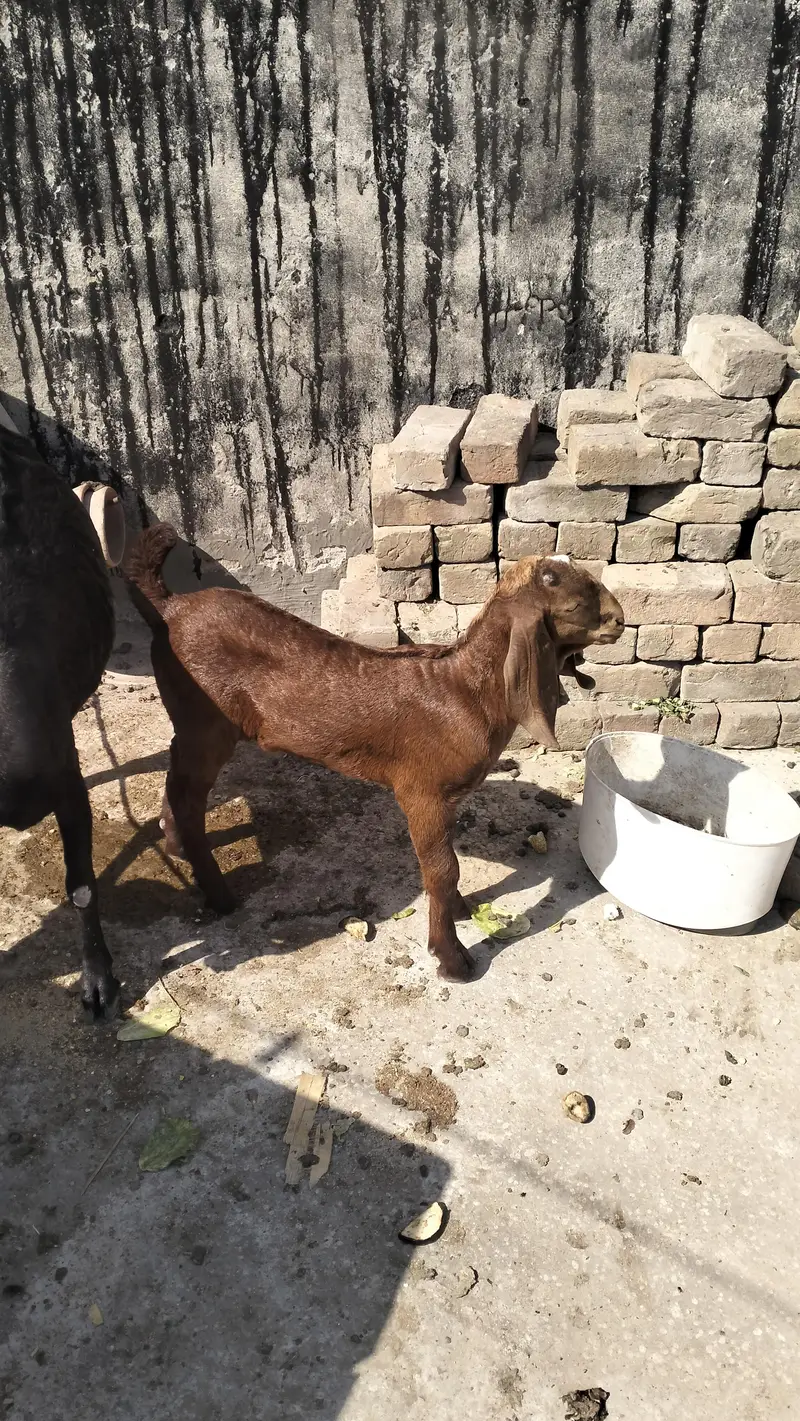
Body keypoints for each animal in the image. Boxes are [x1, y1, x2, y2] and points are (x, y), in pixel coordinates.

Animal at [126, 529, 624, 981]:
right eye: (570, 597)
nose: (620, 620)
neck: (465, 689)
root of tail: (170, 607)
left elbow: (450, 868)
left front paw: (461, 910)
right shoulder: (422, 791)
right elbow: (442, 870)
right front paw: (452, 959)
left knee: (177, 780)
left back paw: (177, 847)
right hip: (204, 723)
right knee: (190, 797)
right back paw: (218, 893)